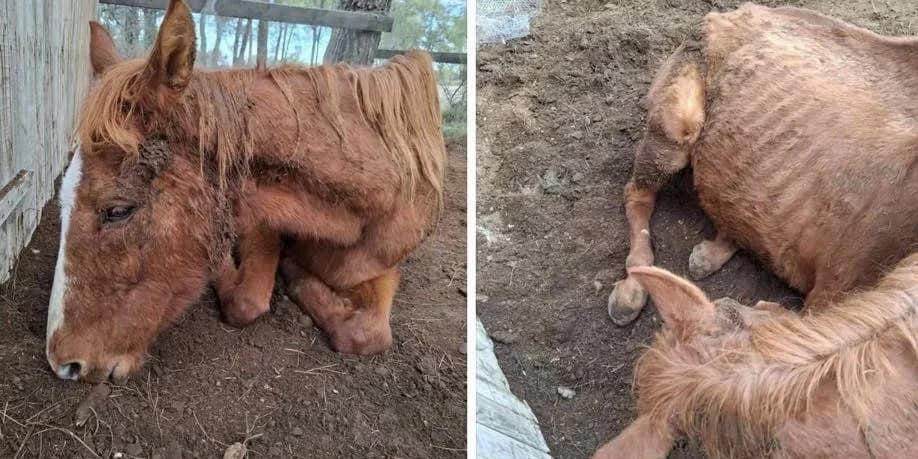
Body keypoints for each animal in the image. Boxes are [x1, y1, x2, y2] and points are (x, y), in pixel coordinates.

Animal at [45, 0, 447, 382]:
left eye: (117, 210)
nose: (63, 363)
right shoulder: (260, 215)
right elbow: (247, 301)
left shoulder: (381, 264)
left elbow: (368, 333)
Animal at [607, 3, 918, 326]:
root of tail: (724, 14)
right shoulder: (835, 295)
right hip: (677, 126)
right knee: (638, 193)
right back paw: (630, 293)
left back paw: (708, 255)